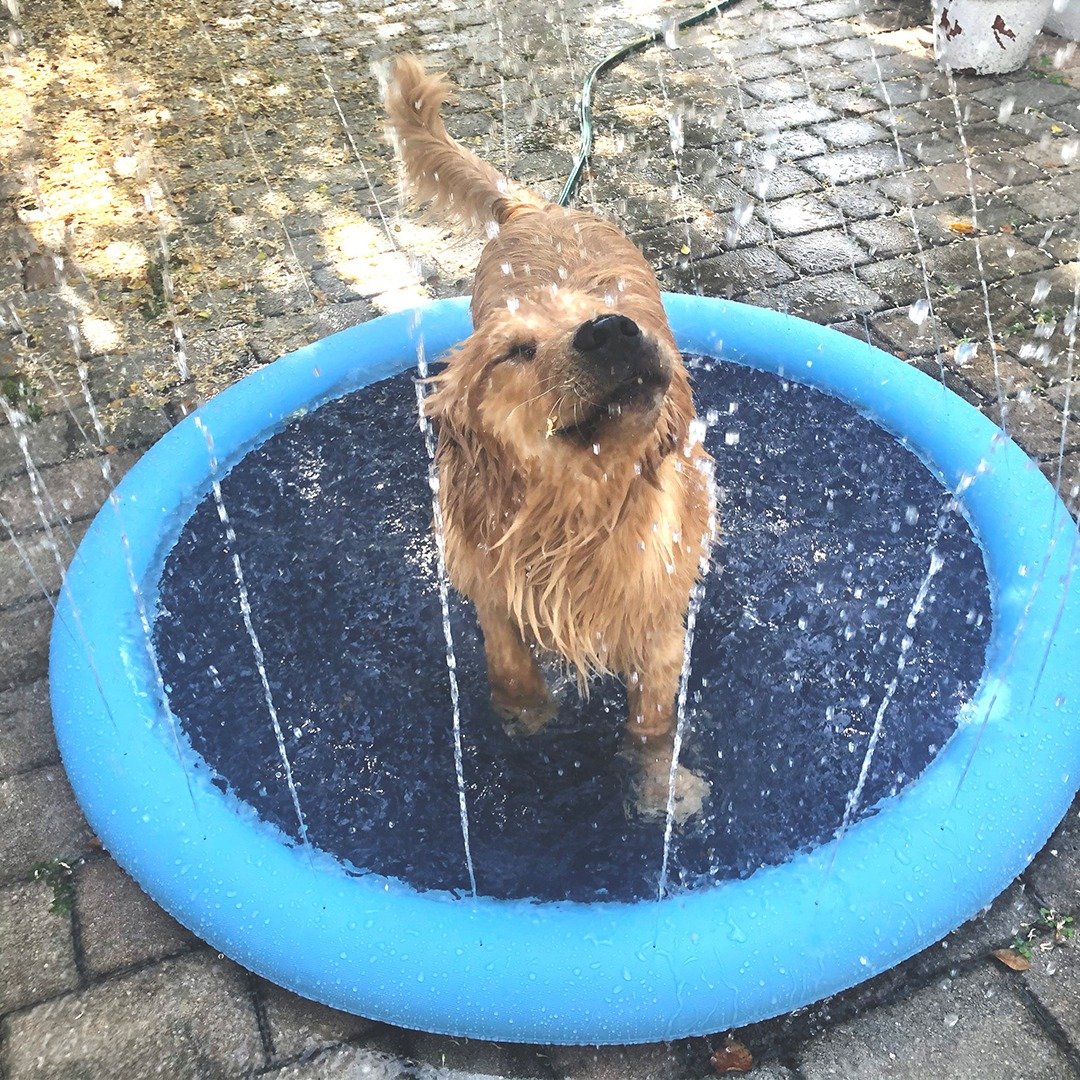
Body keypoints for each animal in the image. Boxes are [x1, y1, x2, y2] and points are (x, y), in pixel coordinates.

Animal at [386, 54, 717, 820]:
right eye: (513, 351)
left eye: (613, 311)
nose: (613, 331)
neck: (575, 514)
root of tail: (540, 207)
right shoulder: (486, 577)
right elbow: (508, 659)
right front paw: (526, 718)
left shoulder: (659, 618)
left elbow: (653, 721)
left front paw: (659, 788)